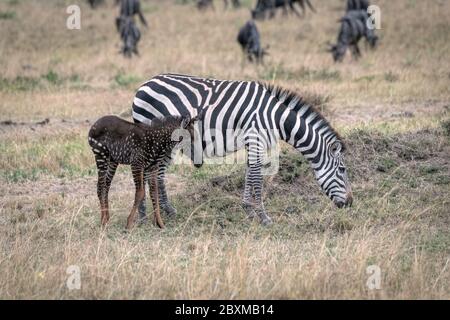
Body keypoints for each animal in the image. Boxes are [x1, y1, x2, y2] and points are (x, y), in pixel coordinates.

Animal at [132, 74, 354, 225]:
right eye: (342, 170)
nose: (350, 203)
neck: (276, 119)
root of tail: (145, 84)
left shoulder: (252, 142)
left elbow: (249, 174)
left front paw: (248, 210)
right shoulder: (256, 139)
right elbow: (257, 178)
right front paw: (263, 217)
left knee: (156, 173)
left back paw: (164, 211)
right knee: (148, 171)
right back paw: (144, 216)